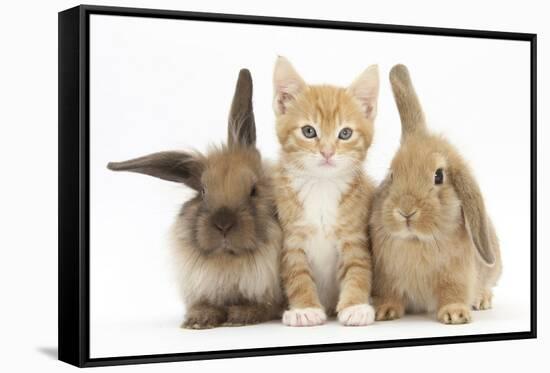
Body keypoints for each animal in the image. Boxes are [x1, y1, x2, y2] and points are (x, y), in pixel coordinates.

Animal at [108, 68, 284, 326]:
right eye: (202, 191)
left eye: (254, 190)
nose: (223, 224)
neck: (227, 260)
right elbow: (203, 304)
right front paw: (199, 319)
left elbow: (264, 307)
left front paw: (241, 315)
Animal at [274, 56, 382, 326]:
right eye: (308, 131)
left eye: (345, 133)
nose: (327, 152)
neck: (321, 187)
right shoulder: (291, 238)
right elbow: (297, 274)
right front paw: (304, 308)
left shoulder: (354, 236)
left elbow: (358, 269)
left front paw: (356, 306)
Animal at [370, 64, 504, 322]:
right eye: (391, 174)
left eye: (438, 176)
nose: (406, 211)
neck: (416, 241)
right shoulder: (386, 278)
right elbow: (390, 294)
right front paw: (384, 311)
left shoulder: (455, 276)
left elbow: (453, 293)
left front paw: (455, 314)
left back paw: (482, 300)